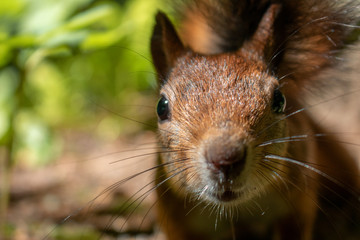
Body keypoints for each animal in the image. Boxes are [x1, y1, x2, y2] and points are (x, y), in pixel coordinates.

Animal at [149, 0, 360, 240]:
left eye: (279, 99)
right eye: (161, 107)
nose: (225, 158)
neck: (238, 208)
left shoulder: (299, 199)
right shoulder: (175, 217)